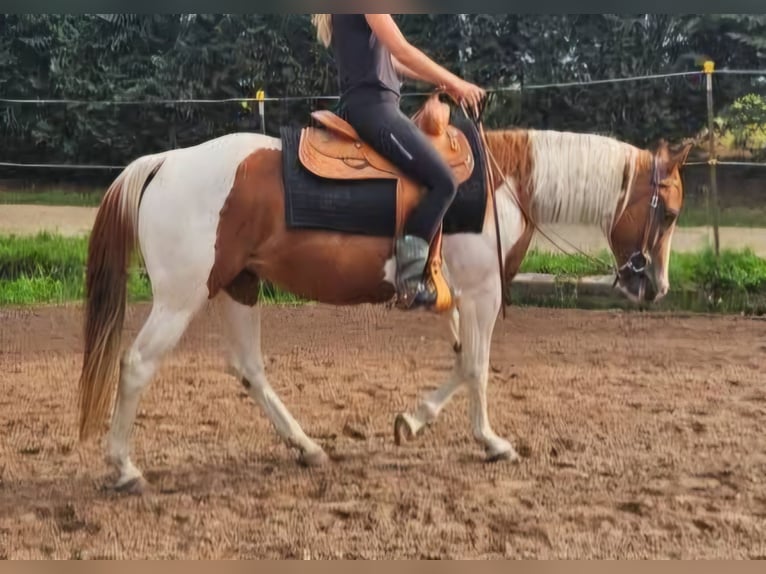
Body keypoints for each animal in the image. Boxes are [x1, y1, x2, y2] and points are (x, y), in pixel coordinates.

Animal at [75, 95, 692, 492]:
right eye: (669, 211)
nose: (653, 285)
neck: (502, 186)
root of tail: (166, 163)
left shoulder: (458, 301)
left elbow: (461, 362)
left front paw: (412, 421)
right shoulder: (482, 295)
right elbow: (477, 366)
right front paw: (490, 442)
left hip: (238, 286)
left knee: (249, 369)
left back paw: (307, 447)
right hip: (181, 297)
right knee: (136, 364)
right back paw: (125, 469)